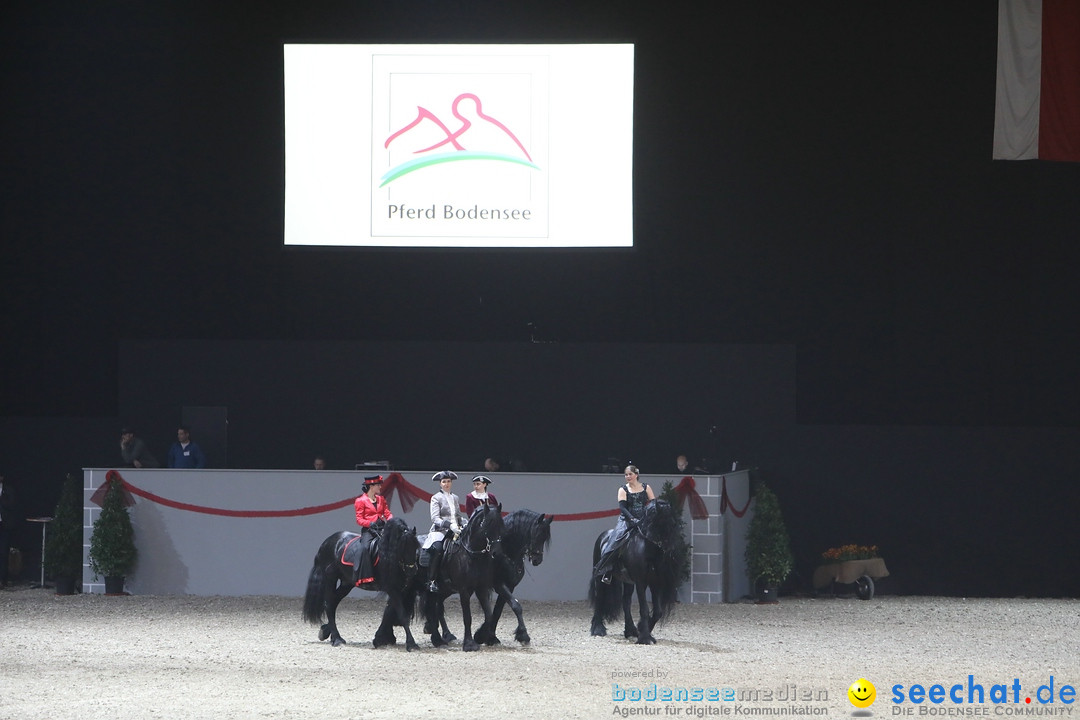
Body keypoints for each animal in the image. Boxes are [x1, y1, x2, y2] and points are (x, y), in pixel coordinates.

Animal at [306, 518, 423, 651]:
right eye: (402, 547)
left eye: (416, 546)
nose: (411, 570)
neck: (389, 556)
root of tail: (327, 542)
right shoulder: (392, 589)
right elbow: (402, 616)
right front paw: (411, 644)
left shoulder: (401, 590)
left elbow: (391, 612)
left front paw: (381, 639)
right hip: (331, 578)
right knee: (329, 604)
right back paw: (337, 639)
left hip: (346, 584)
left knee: (333, 603)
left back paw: (327, 632)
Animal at [421, 500, 505, 651]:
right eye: (487, 526)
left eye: (501, 526)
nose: (497, 554)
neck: (471, 554)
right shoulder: (464, 591)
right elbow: (467, 617)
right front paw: (469, 644)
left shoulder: (481, 588)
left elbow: (489, 615)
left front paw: (481, 636)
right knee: (431, 607)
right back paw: (436, 635)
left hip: (444, 590)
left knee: (437, 607)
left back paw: (441, 636)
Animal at [475, 507, 552, 647]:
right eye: (537, 534)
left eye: (545, 538)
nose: (537, 560)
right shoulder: (499, 584)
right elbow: (516, 606)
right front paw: (524, 635)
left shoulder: (510, 586)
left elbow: (498, 611)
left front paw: (490, 637)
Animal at [587, 498, 686, 643]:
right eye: (662, 520)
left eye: (673, 522)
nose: (671, 550)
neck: (647, 547)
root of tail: (604, 535)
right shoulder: (641, 581)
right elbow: (644, 609)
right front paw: (644, 637)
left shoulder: (654, 583)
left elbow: (658, 612)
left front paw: (644, 632)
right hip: (600, 578)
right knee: (599, 598)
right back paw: (597, 629)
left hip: (628, 581)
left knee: (626, 602)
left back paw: (630, 631)